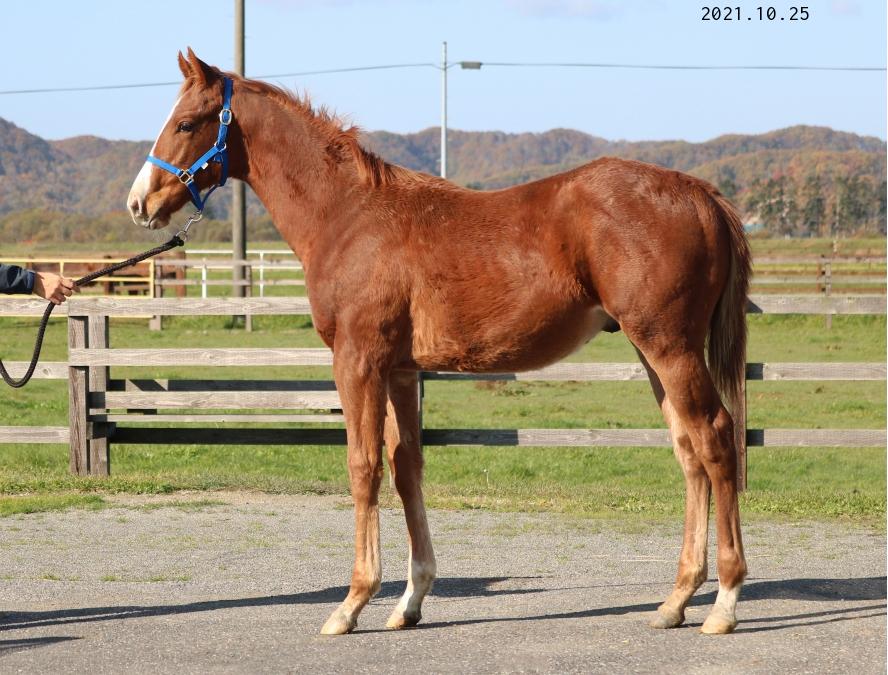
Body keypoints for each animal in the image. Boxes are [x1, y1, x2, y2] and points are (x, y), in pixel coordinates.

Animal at [128, 49, 751, 636]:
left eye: (186, 123)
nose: (140, 203)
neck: (348, 216)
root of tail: (701, 194)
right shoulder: (401, 369)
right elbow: (406, 466)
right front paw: (409, 601)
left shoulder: (357, 361)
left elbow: (363, 467)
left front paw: (351, 604)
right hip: (652, 353)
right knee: (689, 452)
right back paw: (675, 601)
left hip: (669, 347)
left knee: (716, 439)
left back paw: (723, 601)